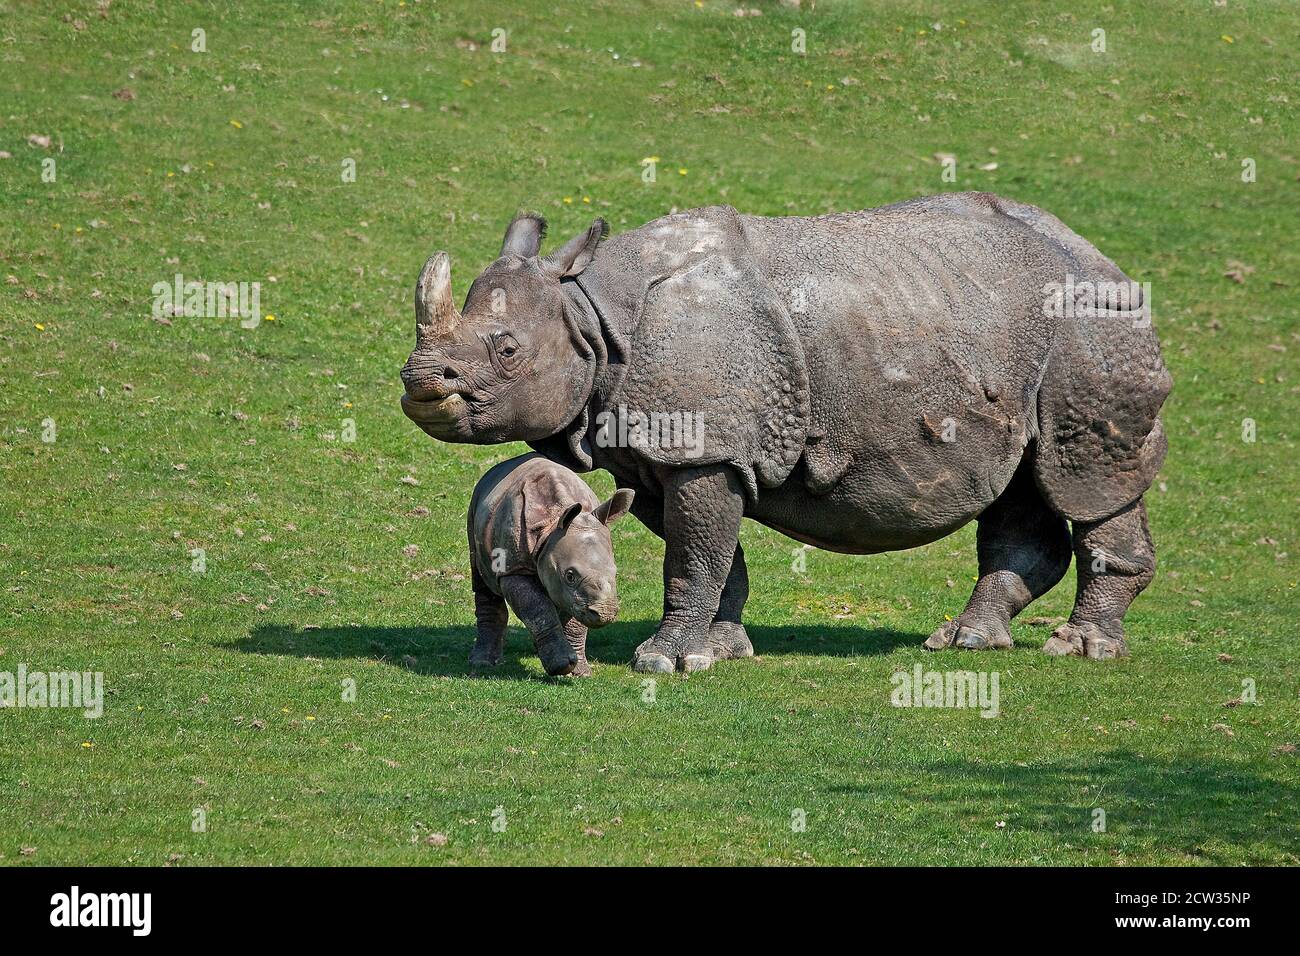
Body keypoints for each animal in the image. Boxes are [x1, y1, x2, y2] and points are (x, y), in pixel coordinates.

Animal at [467, 452, 634, 676]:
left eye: (615, 573)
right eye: (570, 575)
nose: (605, 613)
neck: (552, 525)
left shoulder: (577, 594)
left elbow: (574, 615)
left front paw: (579, 672)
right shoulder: (515, 568)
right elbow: (537, 608)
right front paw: (562, 665)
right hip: (475, 506)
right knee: (482, 580)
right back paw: (483, 663)